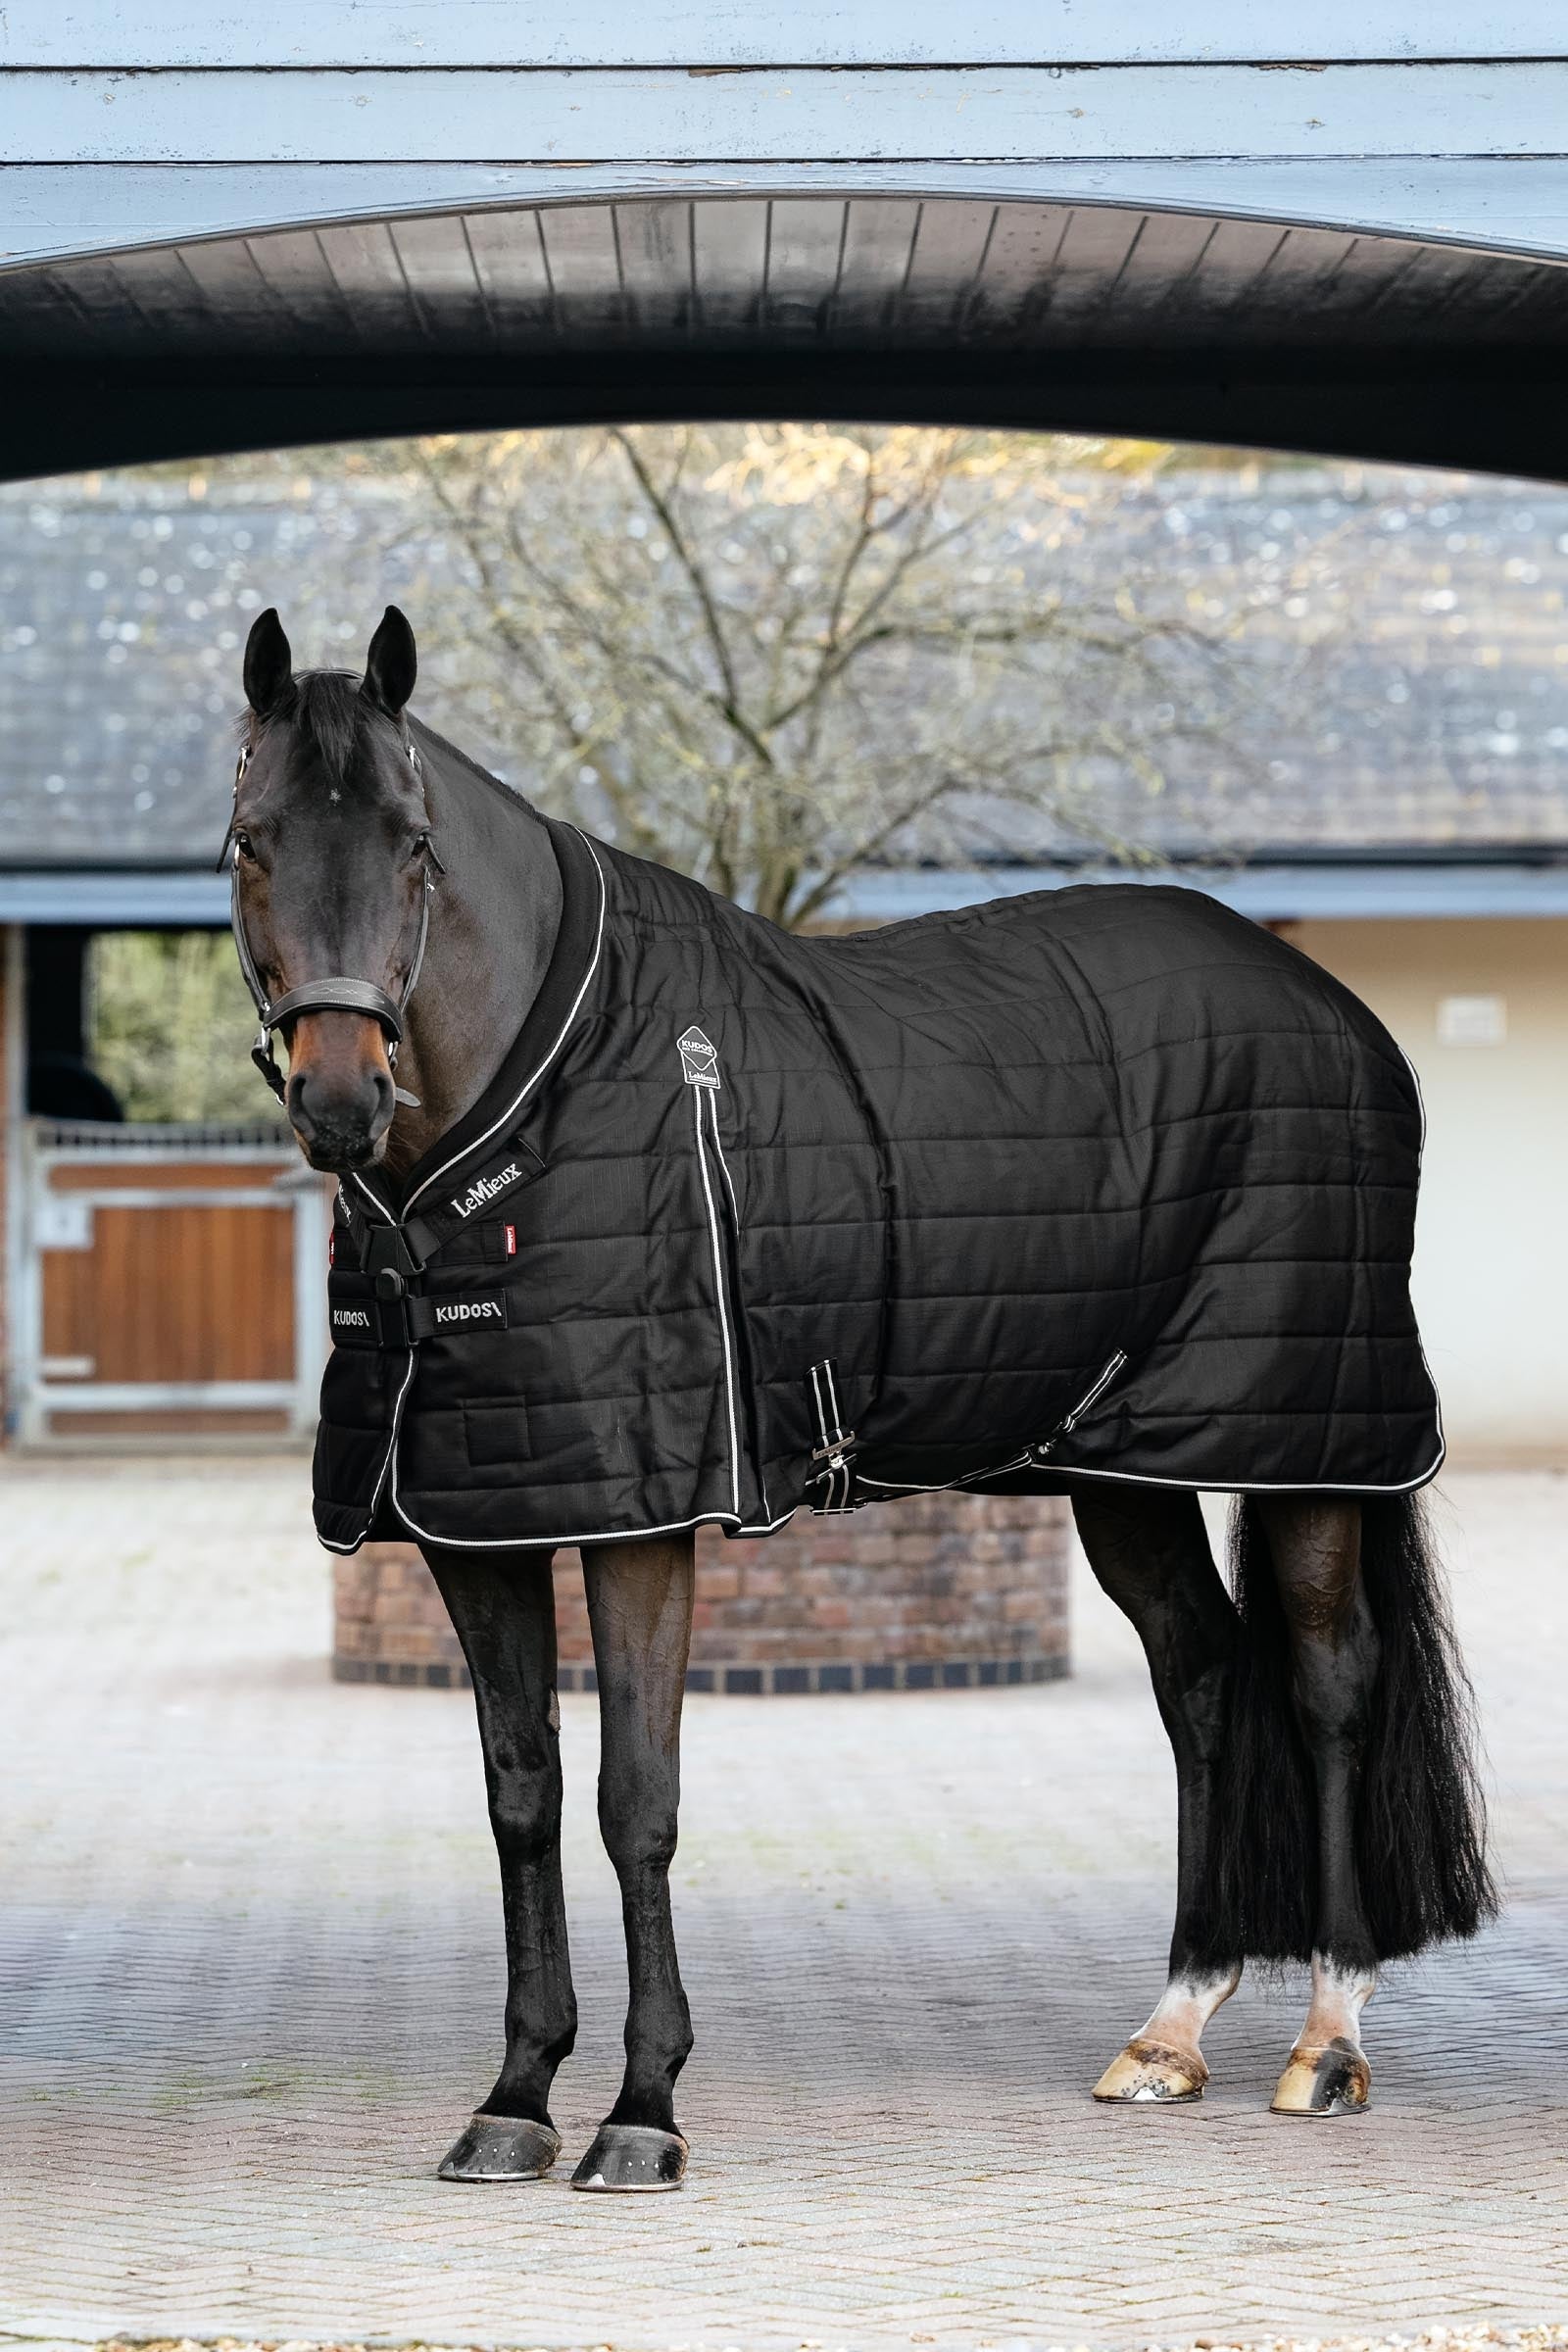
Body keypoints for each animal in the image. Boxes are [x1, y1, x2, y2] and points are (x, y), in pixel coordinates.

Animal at [226, 603, 1494, 2192]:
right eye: (253, 840)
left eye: (412, 845)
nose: (341, 1097)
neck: (545, 1097)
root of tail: (1340, 1015)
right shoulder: (477, 1521)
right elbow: (523, 1797)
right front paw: (514, 2098)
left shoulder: (649, 1521)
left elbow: (635, 1804)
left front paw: (643, 2112)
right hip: (1121, 1468)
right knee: (1200, 1677)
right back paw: (1170, 2031)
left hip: (1313, 1451)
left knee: (1327, 1686)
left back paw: (1326, 2043)